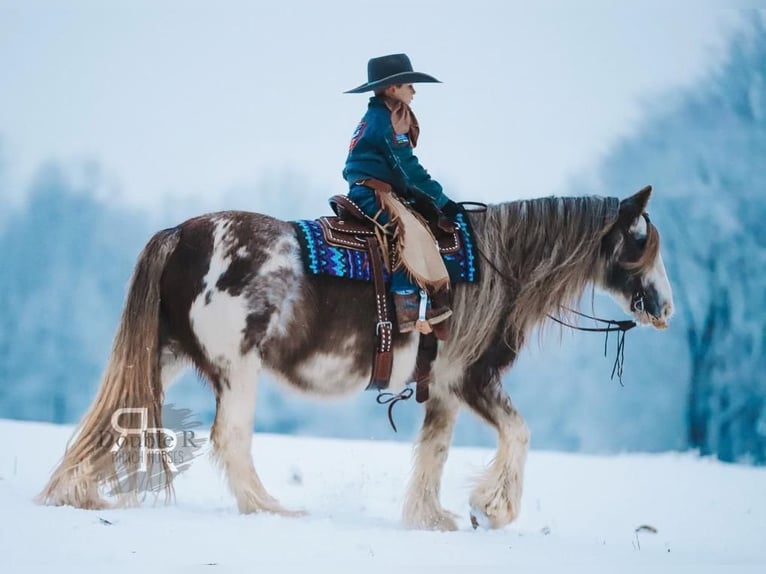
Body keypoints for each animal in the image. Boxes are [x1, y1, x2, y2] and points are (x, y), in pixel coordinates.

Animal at [37, 184, 672, 532]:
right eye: (641, 239)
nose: (664, 306)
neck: (494, 266)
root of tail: (181, 234)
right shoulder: (469, 377)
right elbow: (518, 432)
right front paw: (491, 508)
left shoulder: (443, 389)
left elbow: (435, 451)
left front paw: (432, 518)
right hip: (237, 368)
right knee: (230, 439)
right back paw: (270, 509)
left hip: (164, 356)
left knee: (111, 422)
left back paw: (74, 492)